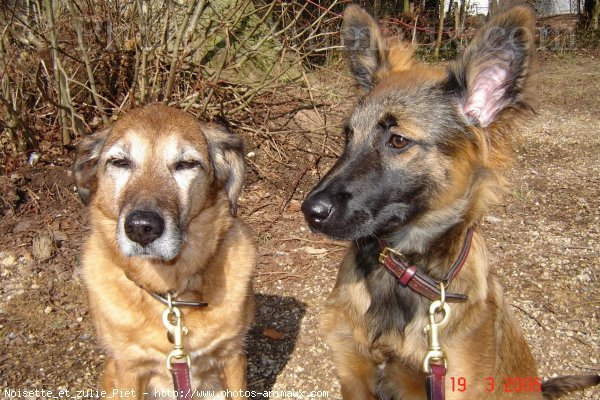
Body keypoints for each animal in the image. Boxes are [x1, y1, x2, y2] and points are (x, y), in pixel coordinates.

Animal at [74, 104, 254, 398]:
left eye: (186, 164)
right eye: (119, 162)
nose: (141, 228)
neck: (171, 291)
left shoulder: (233, 356)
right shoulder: (129, 369)